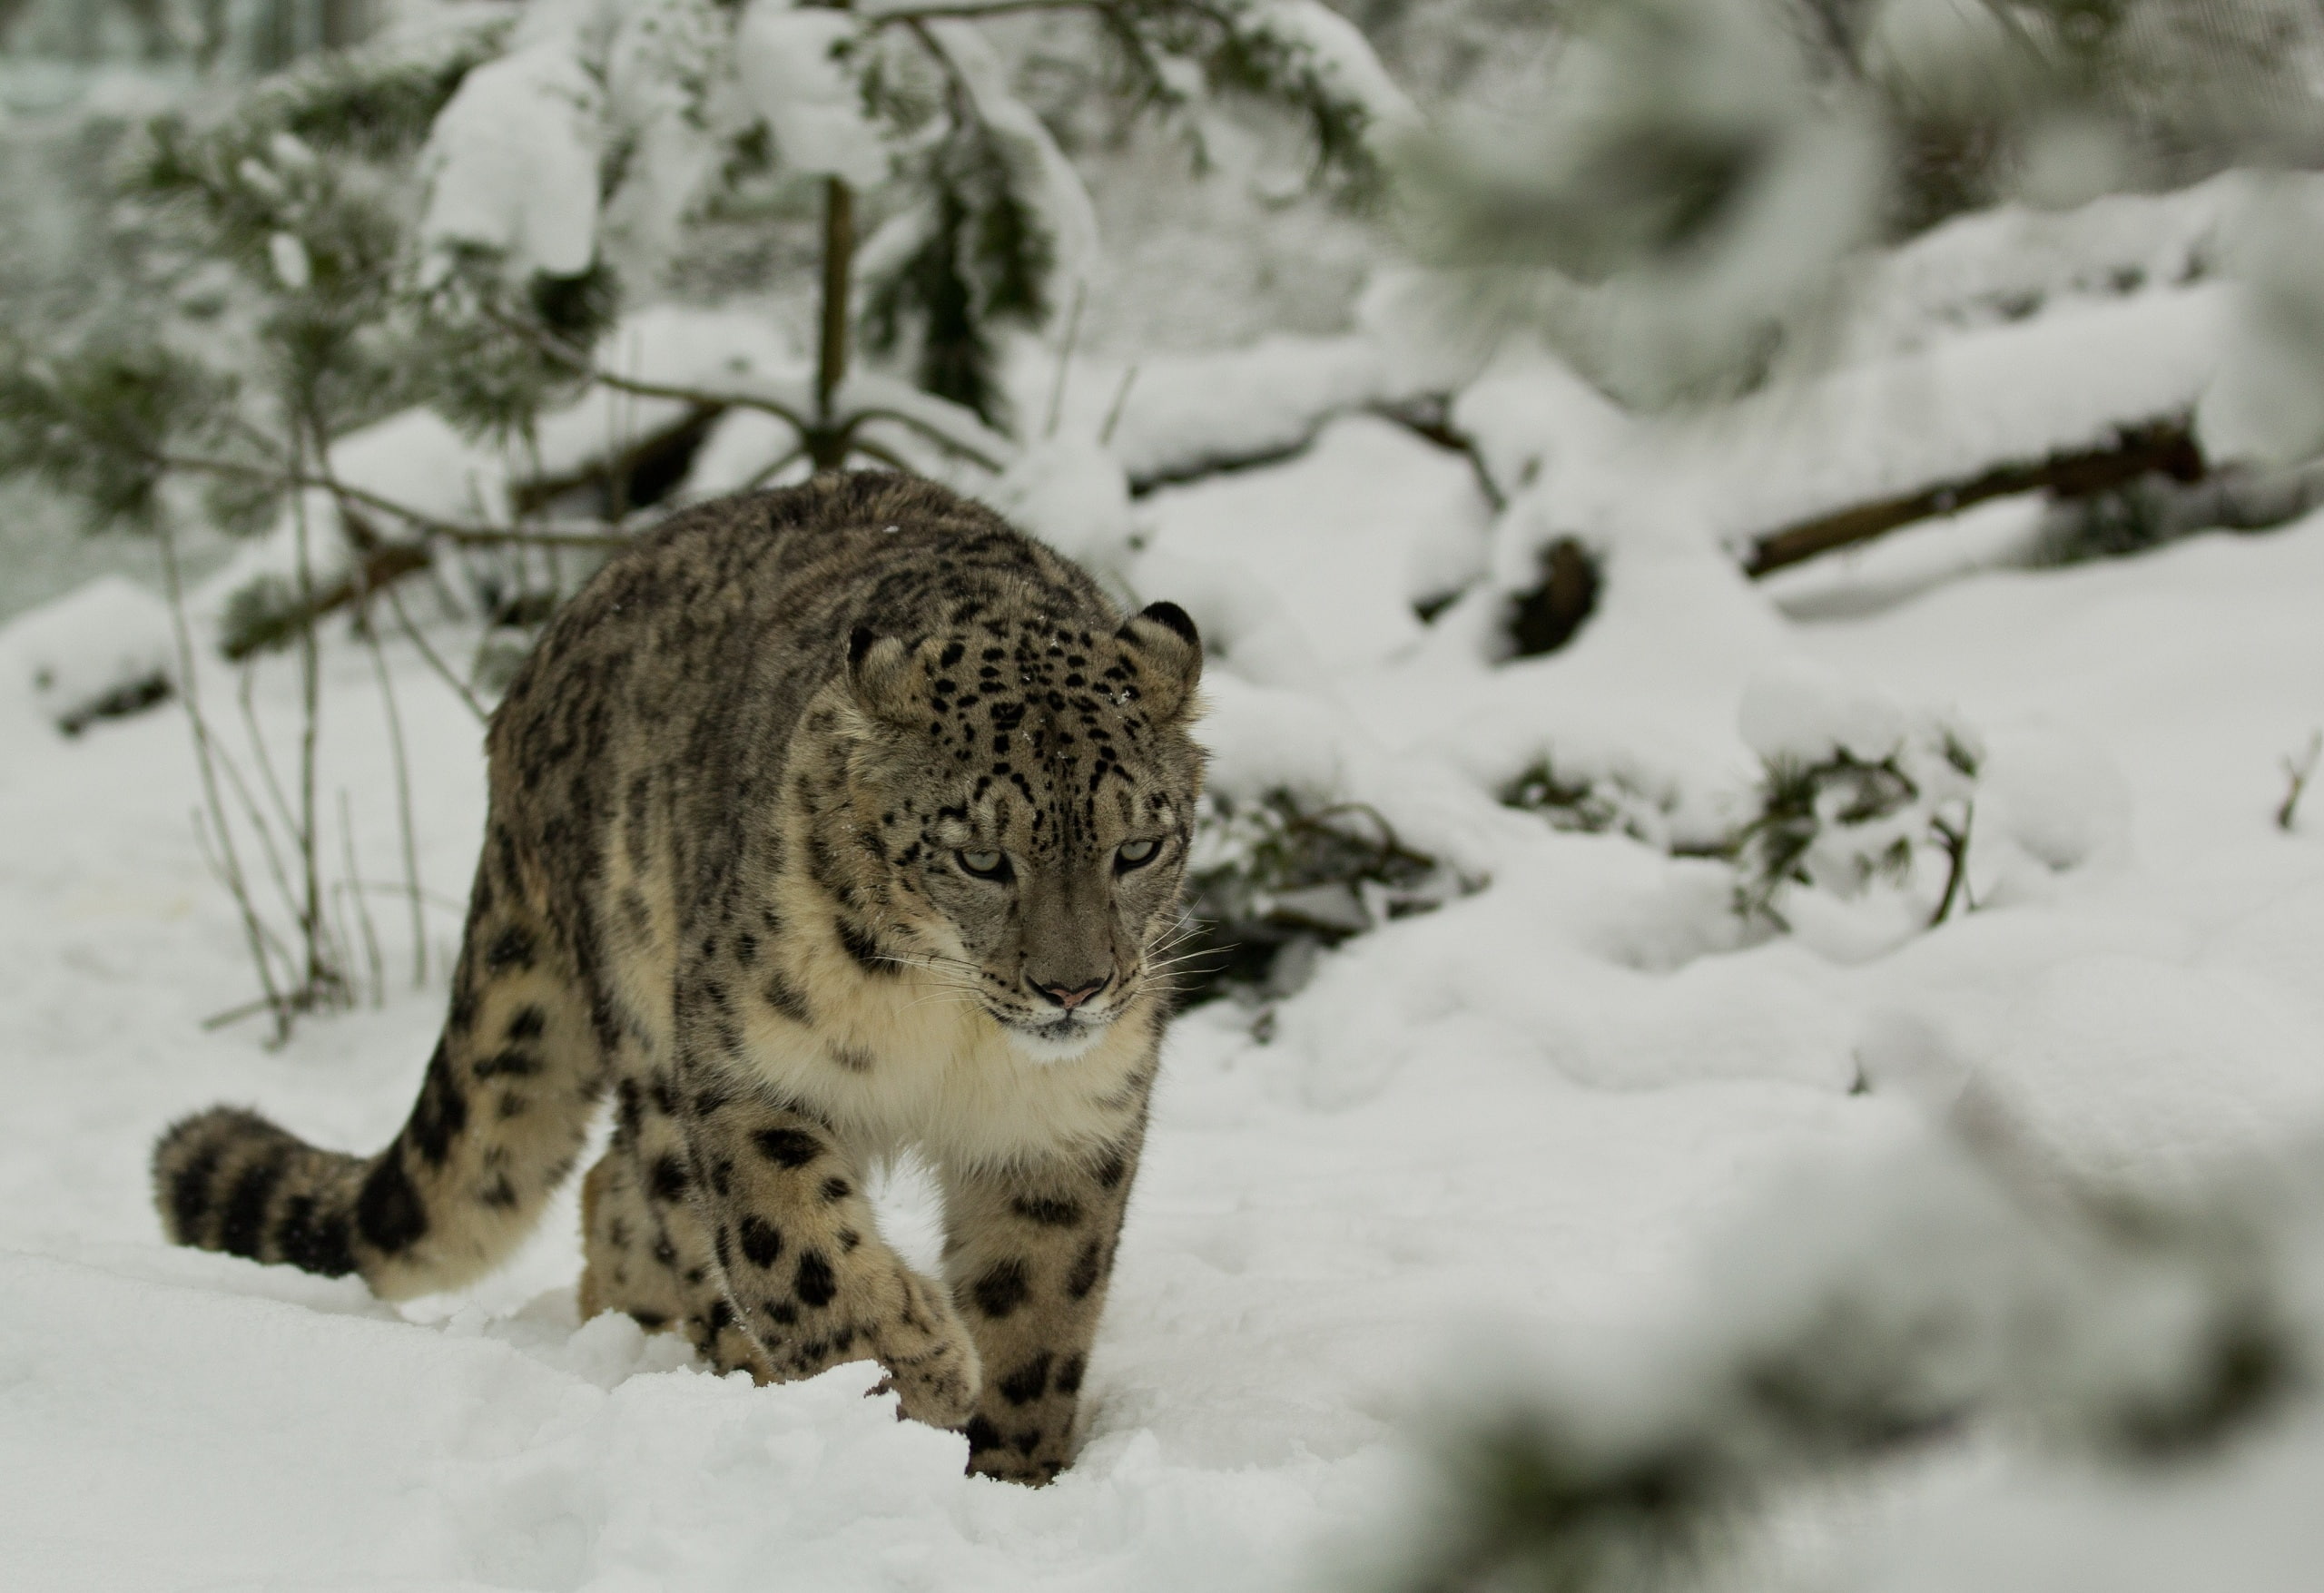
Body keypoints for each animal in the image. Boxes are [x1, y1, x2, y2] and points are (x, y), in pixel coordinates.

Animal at [150, 471, 1205, 1484]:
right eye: (982, 859)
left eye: (1137, 847)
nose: (1073, 988)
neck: (952, 1034)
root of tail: (530, 687)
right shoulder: (749, 1065)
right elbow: (794, 1243)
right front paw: (909, 1366)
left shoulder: (1065, 1120)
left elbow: (1038, 1298)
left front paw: (1011, 1469)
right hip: (649, 1022)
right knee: (660, 1197)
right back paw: (733, 1363)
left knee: (610, 1188)